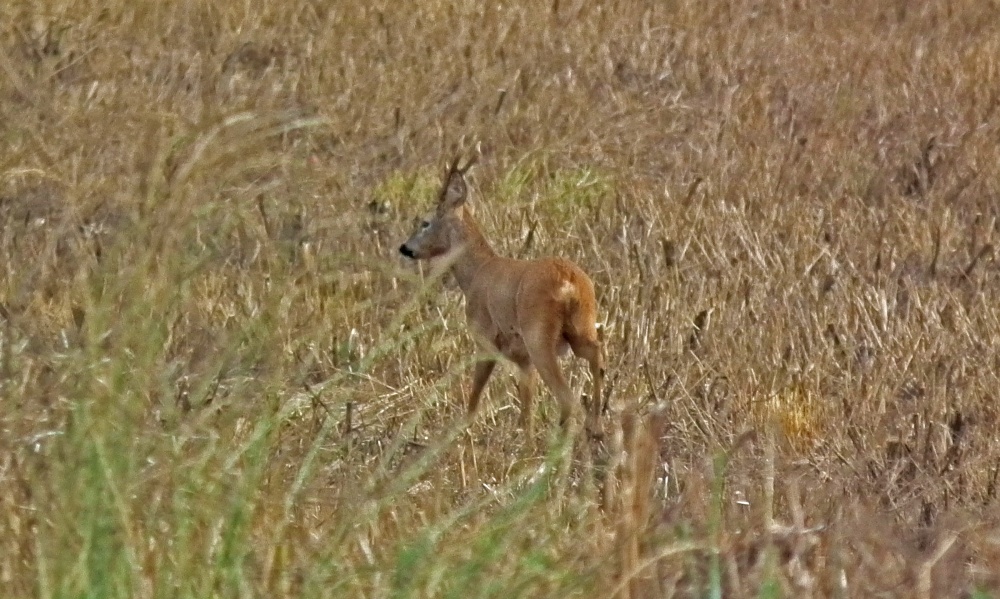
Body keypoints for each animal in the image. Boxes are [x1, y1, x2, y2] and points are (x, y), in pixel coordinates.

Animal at [399, 155, 605, 438]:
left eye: (425, 222)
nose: (405, 248)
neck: (477, 272)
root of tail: (569, 282)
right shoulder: (523, 360)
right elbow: (526, 411)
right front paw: (526, 442)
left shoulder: (484, 338)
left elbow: (474, 400)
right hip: (581, 327)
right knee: (596, 356)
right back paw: (596, 426)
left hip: (539, 337)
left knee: (567, 398)